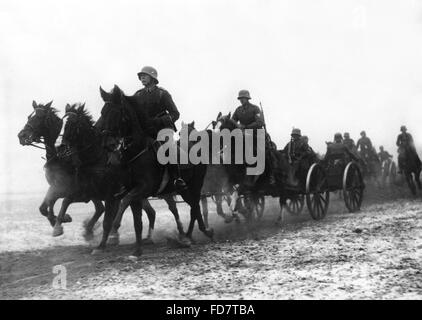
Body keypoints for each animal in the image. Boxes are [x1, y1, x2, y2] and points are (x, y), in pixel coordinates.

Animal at [17, 101, 104, 236]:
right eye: (28, 117)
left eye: (39, 117)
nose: (21, 136)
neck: (59, 159)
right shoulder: (55, 187)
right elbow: (44, 207)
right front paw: (61, 219)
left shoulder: (69, 190)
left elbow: (58, 203)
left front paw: (59, 223)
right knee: (100, 208)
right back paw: (89, 230)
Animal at [97, 86, 213, 256]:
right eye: (102, 112)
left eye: (116, 113)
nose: (106, 143)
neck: (137, 150)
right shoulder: (133, 192)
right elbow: (137, 221)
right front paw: (137, 250)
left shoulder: (143, 189)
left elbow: (125, 202)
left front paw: (114, 230)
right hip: (184, 190)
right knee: (194, 207)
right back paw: (191, 235)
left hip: (194, 186)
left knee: (195, 208)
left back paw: (196, 234)